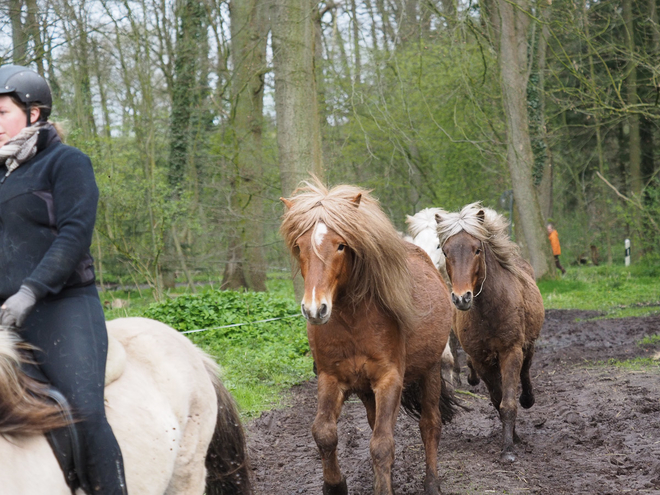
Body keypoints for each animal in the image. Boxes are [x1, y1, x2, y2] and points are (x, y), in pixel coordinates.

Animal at [436, 202, 544, 464]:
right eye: (446, 252)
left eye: (476, 250)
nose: (461, 298)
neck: (488, 311)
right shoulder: (481, 358)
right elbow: (497, 399)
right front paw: (513, 438)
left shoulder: (511, 351)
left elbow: (509, 402)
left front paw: (508, 450)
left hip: (528, 345)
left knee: (526, 370)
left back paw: (528, 398)